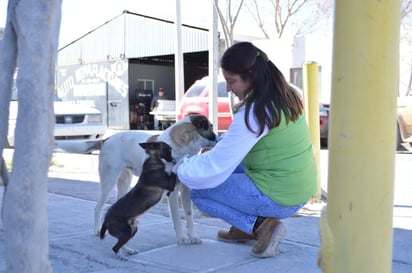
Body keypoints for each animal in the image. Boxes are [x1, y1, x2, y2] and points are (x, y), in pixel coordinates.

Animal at [92, 113, 216, 243]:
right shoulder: (172, 191)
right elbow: (177, 217)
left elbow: (189, 215)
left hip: (124, 182)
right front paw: (182, 238)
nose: (219, 137)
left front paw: (193, 236)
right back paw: (97, 230)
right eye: (210, 126)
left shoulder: (186, 190)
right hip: (109, 181)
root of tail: (106, 140)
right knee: (98, 207)